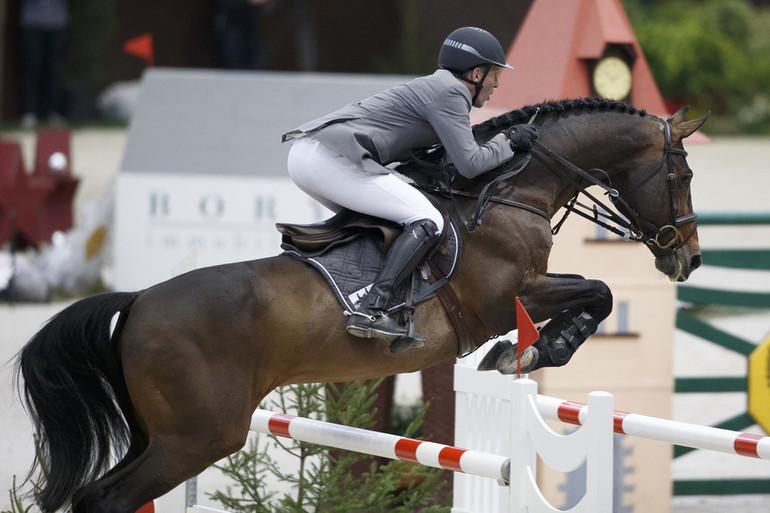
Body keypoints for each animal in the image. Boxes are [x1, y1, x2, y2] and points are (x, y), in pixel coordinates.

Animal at [15, 98, 708, 510]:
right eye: (683, 175)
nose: (690, 259)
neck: (512, 191)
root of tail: (136, 303)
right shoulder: (504, 297)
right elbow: (599, 291)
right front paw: (536, 350)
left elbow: (597, 293)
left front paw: (526, 352)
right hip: (198, 435)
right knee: (104, 499)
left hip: (159, 433)